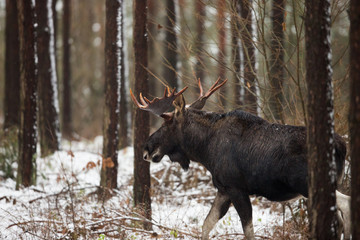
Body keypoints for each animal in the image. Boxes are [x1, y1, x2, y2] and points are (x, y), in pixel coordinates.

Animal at [131, 79, 348, 240]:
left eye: (166, 123)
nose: (146, 149)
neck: (203, 149)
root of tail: (342, 146)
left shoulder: (236, 188)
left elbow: (248, 231)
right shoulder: (223, 189)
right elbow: (206, 225)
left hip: (309, 184)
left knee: (344, 210)